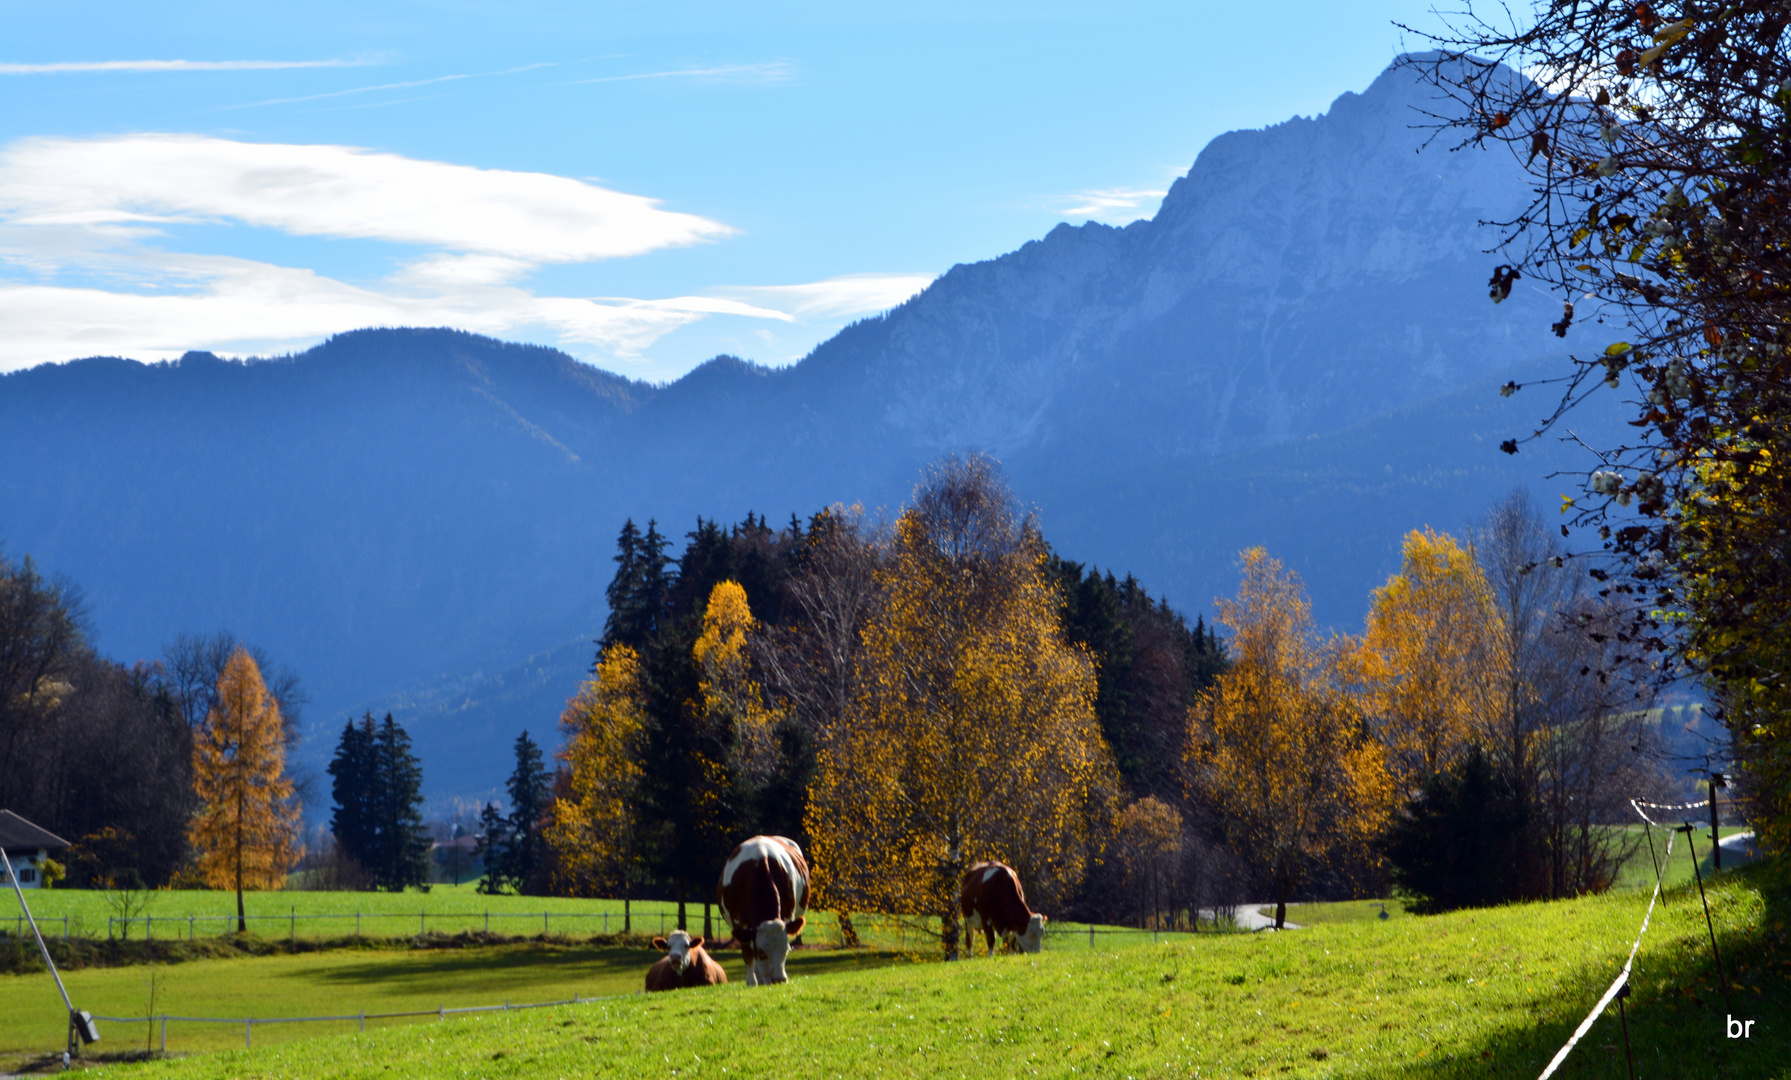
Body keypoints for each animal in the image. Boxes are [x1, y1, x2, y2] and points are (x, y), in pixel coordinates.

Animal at [719, 838, 820, 988]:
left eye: (787, 950)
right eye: (761, 953)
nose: (778, 980)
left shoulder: (787, 916)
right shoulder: (738, 923)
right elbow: (748, 953)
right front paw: (751, 982)